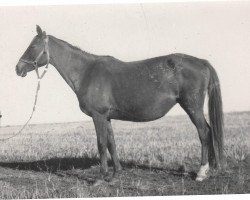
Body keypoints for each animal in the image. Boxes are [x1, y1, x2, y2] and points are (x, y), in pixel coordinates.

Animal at [15, 25, 225, 182]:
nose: (18, 68)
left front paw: (101, 177)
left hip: (192, 106)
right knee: (209, 131)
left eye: (33, 46)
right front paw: (116, 173)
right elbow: (111, 143)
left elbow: (101, 144)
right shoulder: (106, 117)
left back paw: (201, 173)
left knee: (204, 132)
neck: (87, 72)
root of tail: (202, 62)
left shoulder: (98, 116)